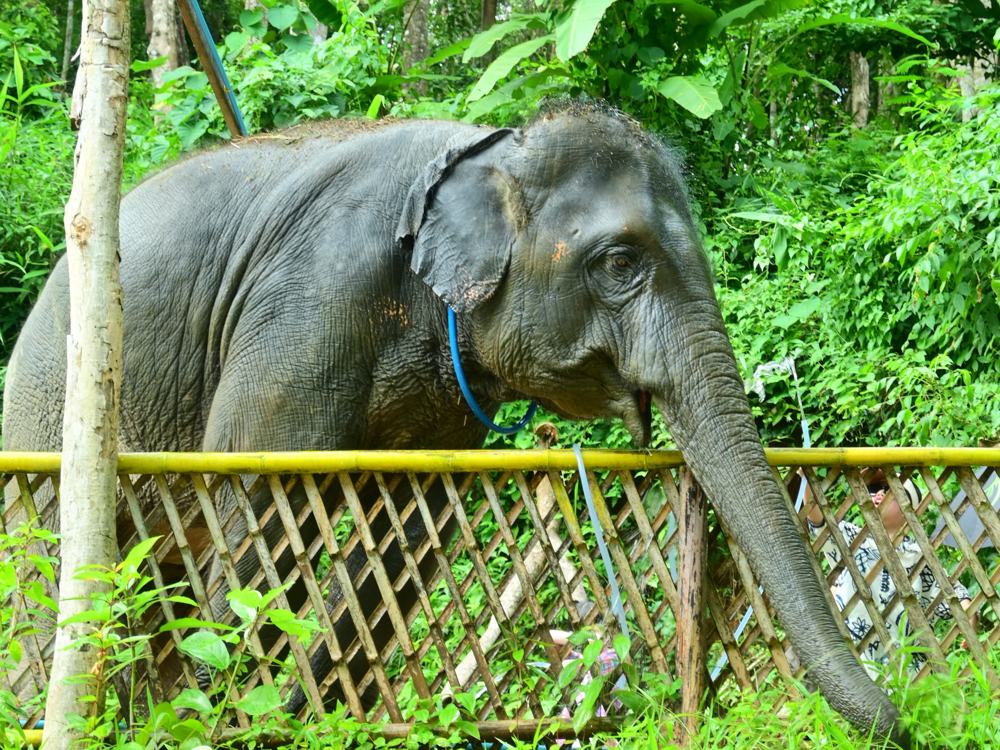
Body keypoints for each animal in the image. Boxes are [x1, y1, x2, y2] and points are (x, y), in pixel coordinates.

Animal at [2, 103, 906, 744]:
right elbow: (262, 498)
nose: (903, 717)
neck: (489, 147)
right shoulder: (308, 306)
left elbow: (412, 531)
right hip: (50, 403)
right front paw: (219, 717)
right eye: (620, 262)